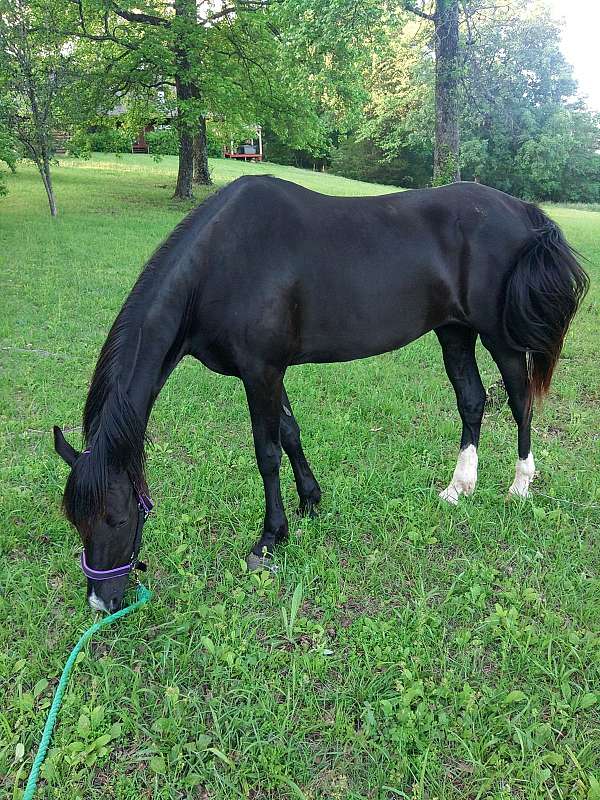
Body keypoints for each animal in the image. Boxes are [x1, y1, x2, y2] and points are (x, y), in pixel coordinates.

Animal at [54, 177, 588, 612]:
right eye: (76, 520)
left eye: (117, 517)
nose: (102, 602)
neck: (221, 262)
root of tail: (522, 210)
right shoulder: (270, 372)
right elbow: (290, 434)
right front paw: (310, 503)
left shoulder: (261, 371)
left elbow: (267, 452)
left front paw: (270, 538)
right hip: (454, 331)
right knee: (472, 400)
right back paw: (459, 488)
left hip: (501, 337)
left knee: (520, 402)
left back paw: (520, 485)